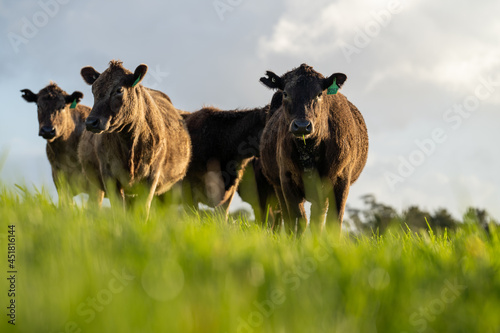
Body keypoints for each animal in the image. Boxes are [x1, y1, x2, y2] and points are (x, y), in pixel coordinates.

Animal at [80, 59, 191, 215]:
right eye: (93, 90)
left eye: (119, 90)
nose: (91, 122)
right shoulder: (109, 175)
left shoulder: (152, 177)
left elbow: (143, 210)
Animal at [258, 63, 368, 233]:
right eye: (286, 93)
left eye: (319, 94)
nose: (302, 126)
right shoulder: (286, 179)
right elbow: (298, 219)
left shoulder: (341, 179)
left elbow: (333, 221)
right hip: (278, 185)